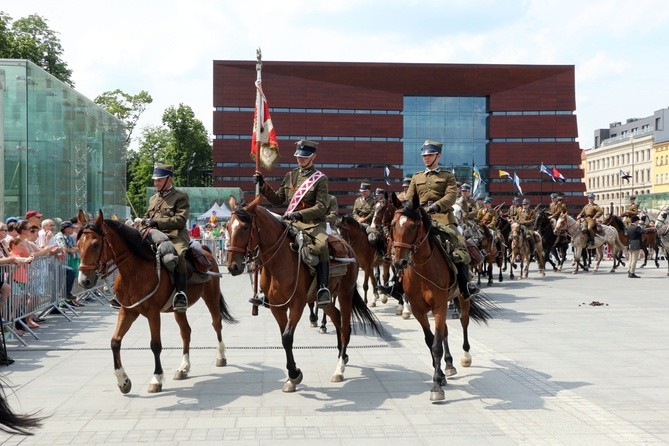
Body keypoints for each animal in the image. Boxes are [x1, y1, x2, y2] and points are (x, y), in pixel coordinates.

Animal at [73, 210, 232, 394]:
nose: (84, 281)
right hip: (178, 309)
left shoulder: (153, 313)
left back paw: (221, 357)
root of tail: (206, 251)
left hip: (211, 296)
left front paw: (156, 379)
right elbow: (115, 342)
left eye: (96, 244)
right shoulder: (128, 311)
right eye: (78, 244)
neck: (134, 271)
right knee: (186, 332)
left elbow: (155, 345)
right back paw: (183, 368)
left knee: (216, 323)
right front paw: (123, 381)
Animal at [226, 198, 384, 390]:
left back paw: (339, 368)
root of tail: (348, 247)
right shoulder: (277, 308)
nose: (232, 266)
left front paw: (294, 375)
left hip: (345, 293)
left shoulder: (297, 305)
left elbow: (287, 337)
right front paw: (291, 377)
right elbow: (284, 337)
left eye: (245, 227)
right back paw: (342, 354)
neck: (279, 262)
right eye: (227, 226)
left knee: (345, 326)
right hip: (324, 299)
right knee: (336, 317)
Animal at [388, 194, 494, 400]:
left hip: (462, 298)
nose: (400, 262)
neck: (423, 268)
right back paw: (449, 364)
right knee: (444, 331)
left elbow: (437, 344)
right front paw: (440, 375)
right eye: (393, 224)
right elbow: (431, 341)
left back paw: (465, 357)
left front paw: (437, 386)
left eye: (414, 226)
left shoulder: (439, 306)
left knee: (464, 322)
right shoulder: (419, 310)